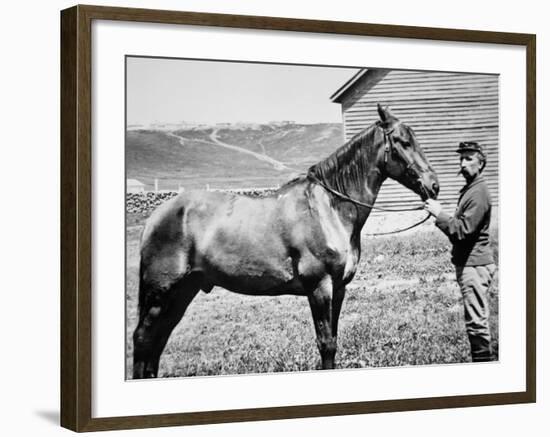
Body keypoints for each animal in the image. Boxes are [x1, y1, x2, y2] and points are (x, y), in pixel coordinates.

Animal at [133, 104, 440, 376]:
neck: (328, 208)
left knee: (157, 342)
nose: (433, 186)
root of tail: (156, 215)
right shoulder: (319, 287)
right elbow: (326, 344)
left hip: (183, 292)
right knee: (143, 340)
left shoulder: (338, 289)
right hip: (161, 294)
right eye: (403, 142)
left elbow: (333, 340)